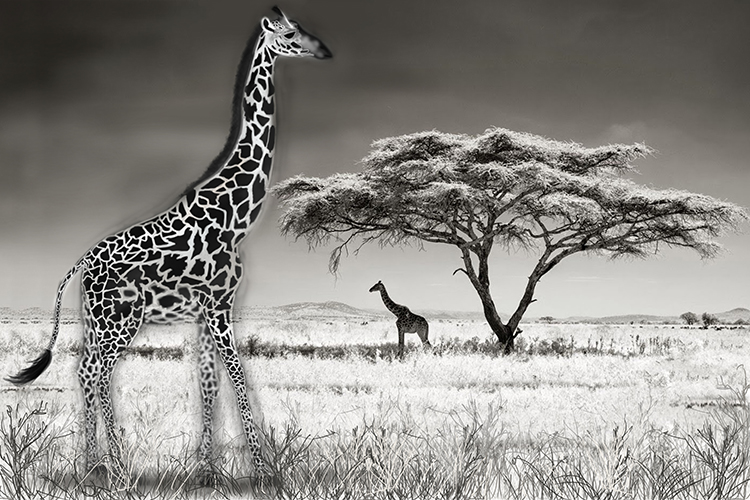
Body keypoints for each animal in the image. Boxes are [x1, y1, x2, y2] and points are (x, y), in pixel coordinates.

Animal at [6, 7, 332, 477]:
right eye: (290, 35)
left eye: (303, 29)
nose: (323, 50)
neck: (237, 216)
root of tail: (80, 265)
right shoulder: (219, 305)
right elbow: (238, 375)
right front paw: (263, 470)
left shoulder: (207, 311)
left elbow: (209, 382)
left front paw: (208, 471)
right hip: (121, 320)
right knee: (99, 373)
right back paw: (118, 471)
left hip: (96, 321)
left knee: (84, 369)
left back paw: (92, 466)